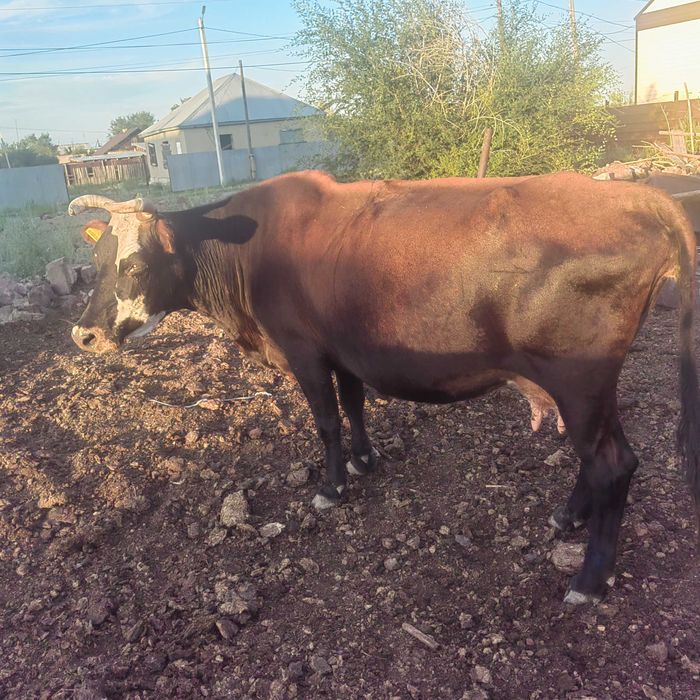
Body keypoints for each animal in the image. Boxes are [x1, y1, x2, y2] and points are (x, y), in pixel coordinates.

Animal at [67, 171, 700, 605]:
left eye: (135, 265)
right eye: (96, 262)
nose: (84, 334)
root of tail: (636, 198)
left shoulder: (303, 350)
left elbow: (325, 419)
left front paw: (331, 486)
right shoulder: (342, 349)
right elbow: (353, 405)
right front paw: (365, 459)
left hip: (579, 378)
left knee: (613, 463)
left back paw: (590, 579)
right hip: (591, 387)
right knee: (605, 458)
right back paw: (568, 518)